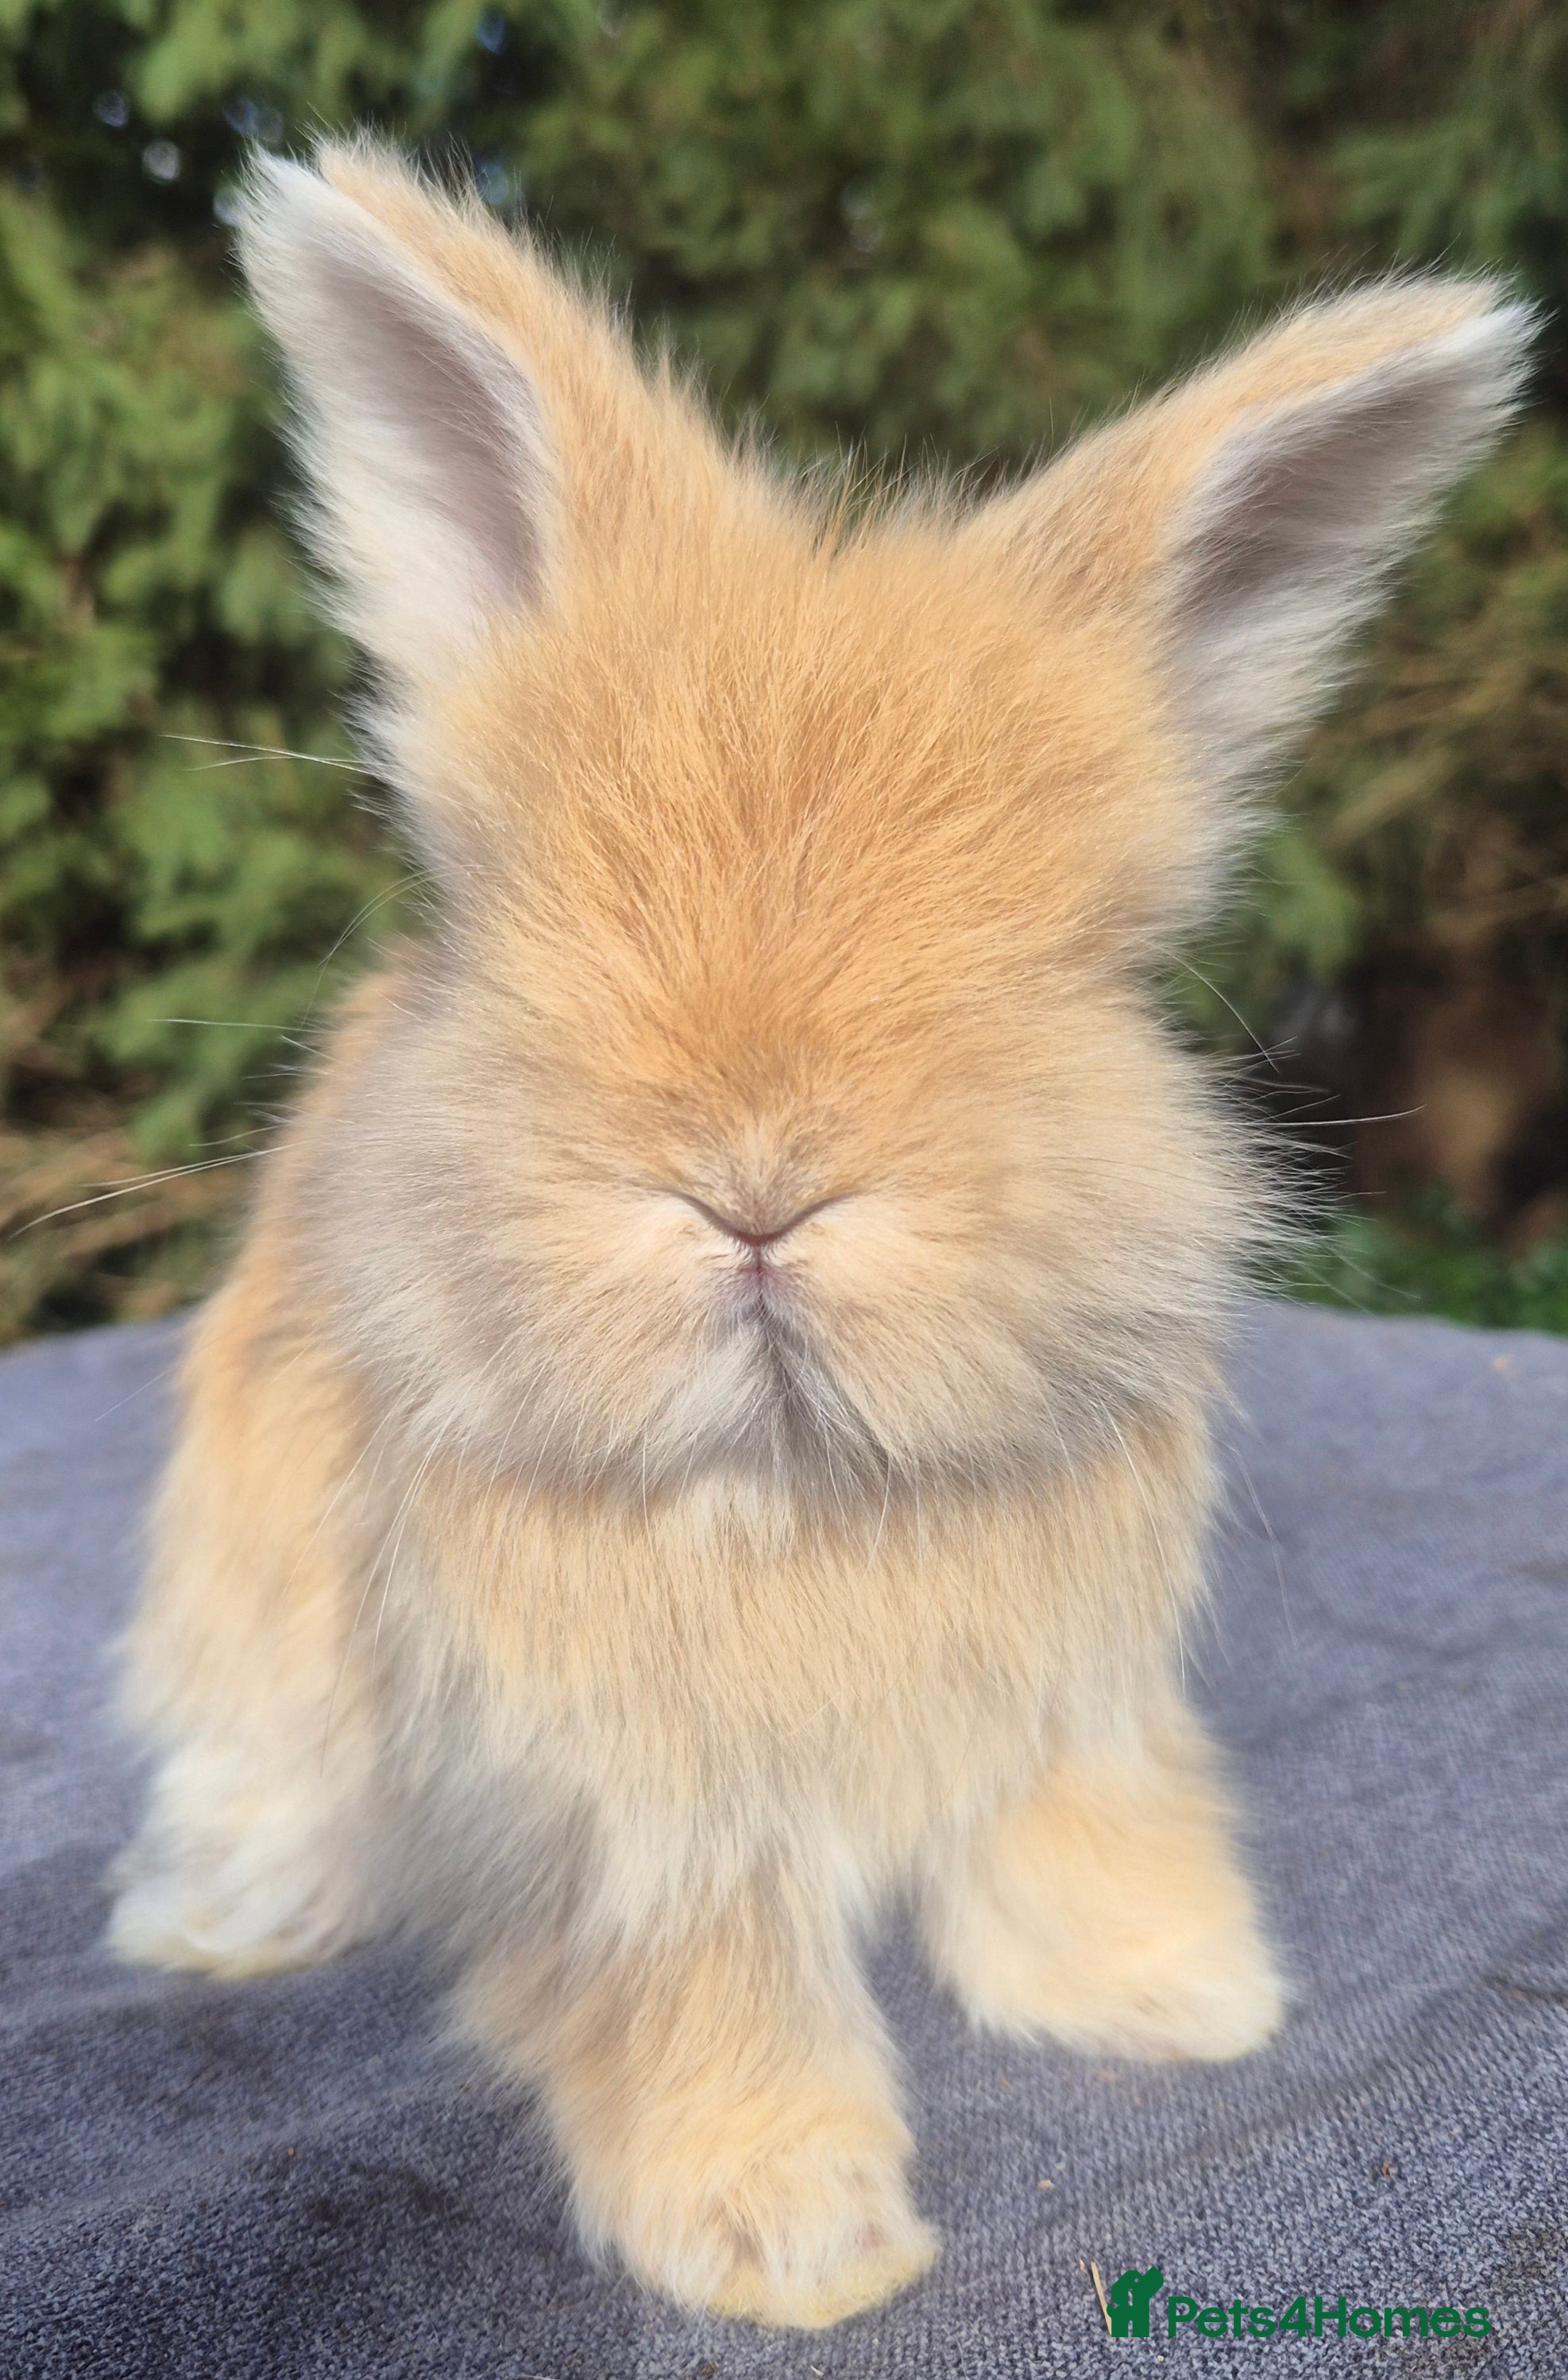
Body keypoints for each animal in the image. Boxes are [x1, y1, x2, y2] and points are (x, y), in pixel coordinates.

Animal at [106, 138, 1534, 2330]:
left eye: (1074, 958)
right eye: (515, 909)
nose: (758, 1180)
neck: (794, 1490)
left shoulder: (1072, 1704)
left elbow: (1075, 1831)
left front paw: (1179, 1995)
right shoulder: (644, 1825)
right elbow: (708, 1980)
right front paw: (790, 2235)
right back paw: (220, 1924)